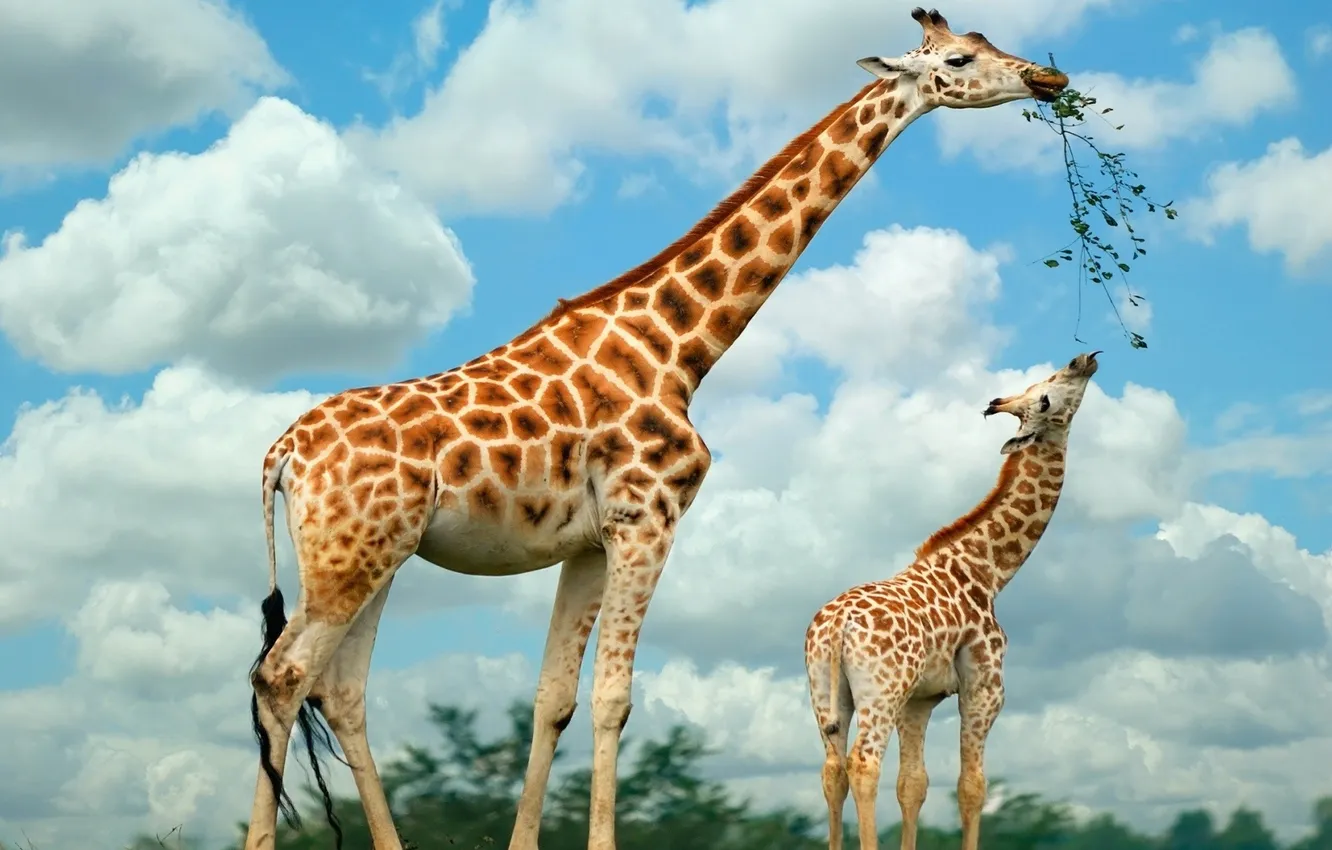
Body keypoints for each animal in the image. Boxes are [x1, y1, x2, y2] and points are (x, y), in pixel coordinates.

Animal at [242, 8, 1070, 850]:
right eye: (959, 58)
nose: (1049, 78)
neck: (680, 349)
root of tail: (282, 454)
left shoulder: (588, 542)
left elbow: (554, 699)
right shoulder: (648, 519)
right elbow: (614, 697)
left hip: (376, 556)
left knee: (340, 690)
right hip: (351, 557)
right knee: (281, 675)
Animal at [802, 352, 1101, 850]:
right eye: (1045, 395)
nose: (1083, 360)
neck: (990, 571)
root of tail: (837, 625)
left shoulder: (919, 700)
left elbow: (913, 784)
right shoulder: (985, 688)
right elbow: (972, 787)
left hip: (825, 692)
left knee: (833, 771)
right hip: (879, 691)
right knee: (864, 764)